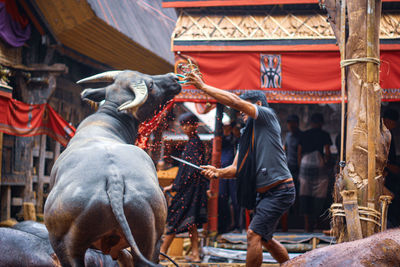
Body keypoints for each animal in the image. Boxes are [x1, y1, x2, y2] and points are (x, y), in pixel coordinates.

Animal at [44, 70, 181, 266]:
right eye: (150, 84)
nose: (174, 77)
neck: (107, 124)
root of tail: (114, 181)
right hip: (150, 242)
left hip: (66, 247)